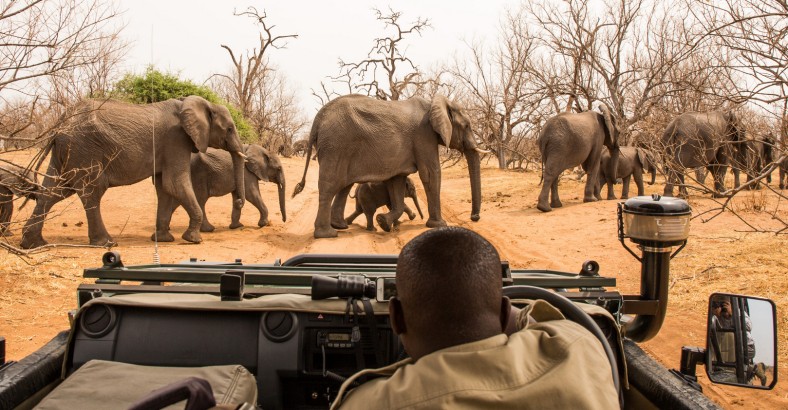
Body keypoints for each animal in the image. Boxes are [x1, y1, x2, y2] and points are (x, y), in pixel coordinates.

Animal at [20, 96, 246, 248]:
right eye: (229, 129)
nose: (238, 201)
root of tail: (58, 127)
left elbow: (165, 187)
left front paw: (163, 239)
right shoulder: (175, 139)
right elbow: (175, 183)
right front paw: (193, 239)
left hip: (67, 152)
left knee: (54, 192)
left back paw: (33, 244)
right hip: (84, 149)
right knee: (92, 191)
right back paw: (106, 243)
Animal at [290, 94, 484, 239]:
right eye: (467, 125)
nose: (475, 217)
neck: (436, 102)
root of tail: (318, 120)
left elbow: (397, 181)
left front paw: (383, 222)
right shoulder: (424, 136)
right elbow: (430, 174)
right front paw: (438, 226)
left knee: (344, 186)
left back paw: (341, 226)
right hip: (336, 146)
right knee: (330, 186)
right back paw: (327, 234)